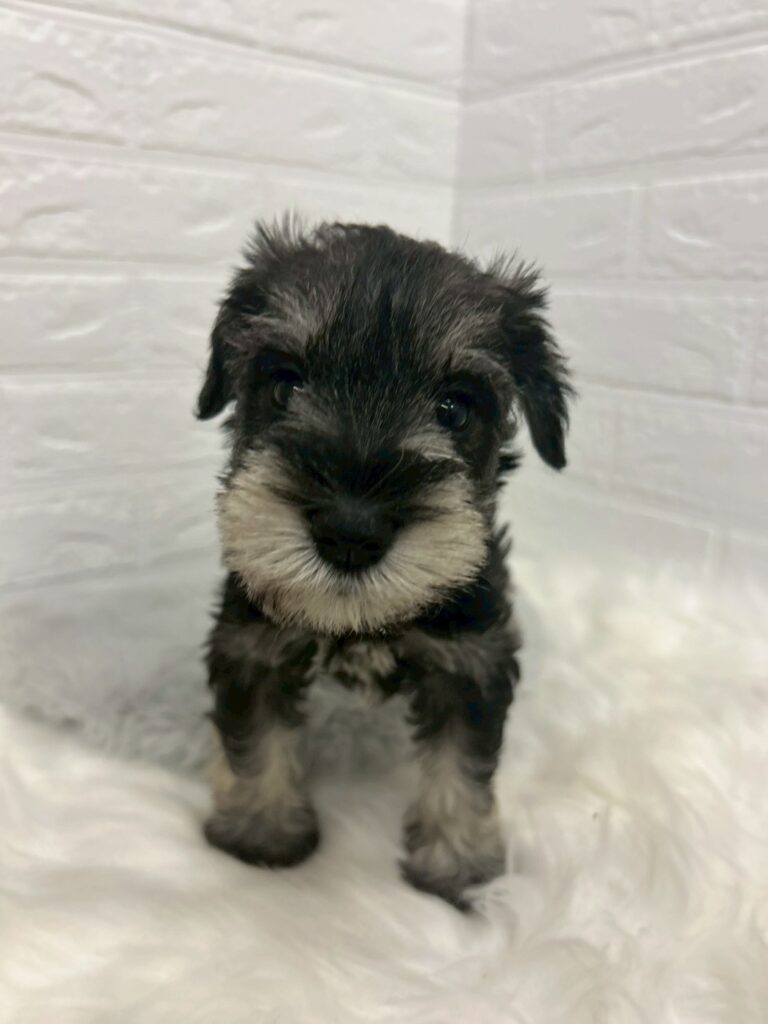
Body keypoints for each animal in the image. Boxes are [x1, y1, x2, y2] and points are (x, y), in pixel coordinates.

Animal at [196, 218, 571, 909]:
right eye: (284, 383)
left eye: (456, 407)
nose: (350, 531)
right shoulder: (251, 645)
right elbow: (256, 739)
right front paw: (262, 834)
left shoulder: (472, 660)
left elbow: (461, 766)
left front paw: (457, 866)